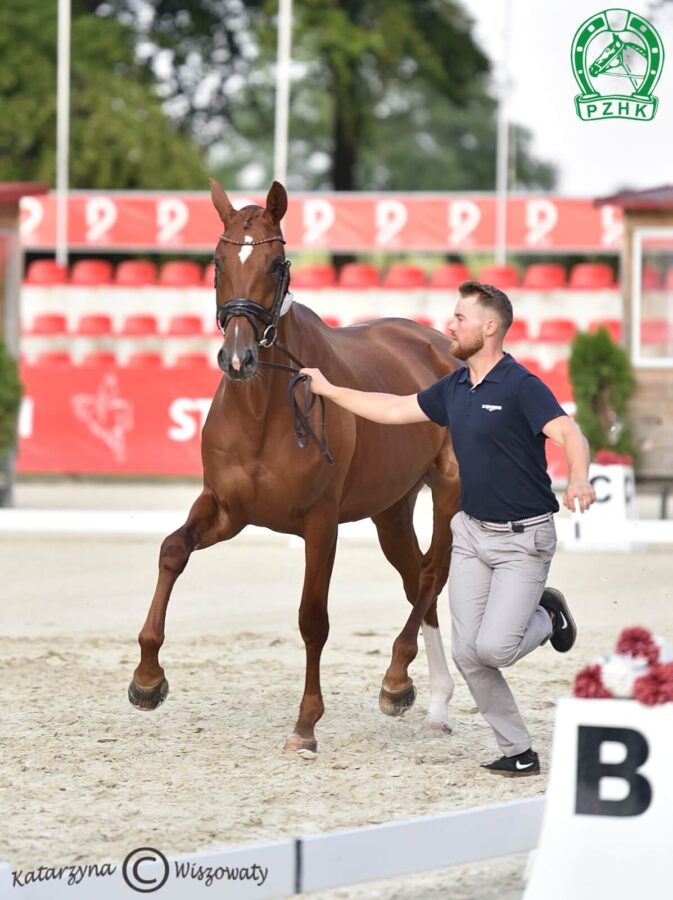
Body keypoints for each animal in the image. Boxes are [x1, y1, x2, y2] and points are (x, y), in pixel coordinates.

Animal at [127, 181, 462, 752]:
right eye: (217, 262)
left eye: (276, 263)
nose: (237, 359)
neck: (263, 409)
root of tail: (446, 347)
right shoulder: (226, 509)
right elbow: (172, 552)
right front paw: (147, 678)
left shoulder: (321, 523)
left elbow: (312, 619)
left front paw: (306, 725)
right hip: (391, 510)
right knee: (418, 578)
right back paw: (430, 699)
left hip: (446, 489)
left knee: (433, 573)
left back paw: (397, 678)